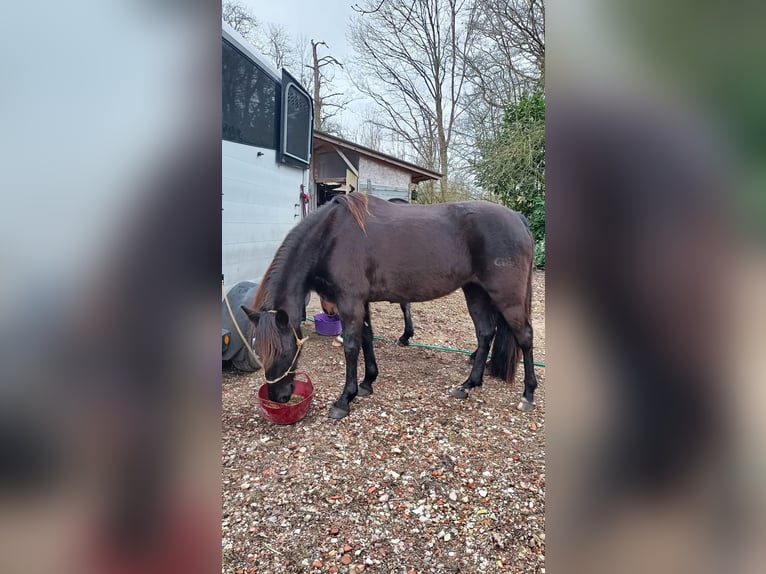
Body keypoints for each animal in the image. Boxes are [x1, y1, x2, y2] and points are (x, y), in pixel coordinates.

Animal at [244, 196, 540, 420]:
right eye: (259, 350)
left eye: (286, 351)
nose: (278, 397)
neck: (330, 234)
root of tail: (518, 218)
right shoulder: (360, 302)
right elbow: (366, 337)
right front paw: (367, 383)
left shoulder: (350, 302)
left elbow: (351, 347)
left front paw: (344, 399)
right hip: (475, 291)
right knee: (485, 333)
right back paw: (469, 384)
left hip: (507, 296)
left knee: (524, 336)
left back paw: (527, 395)